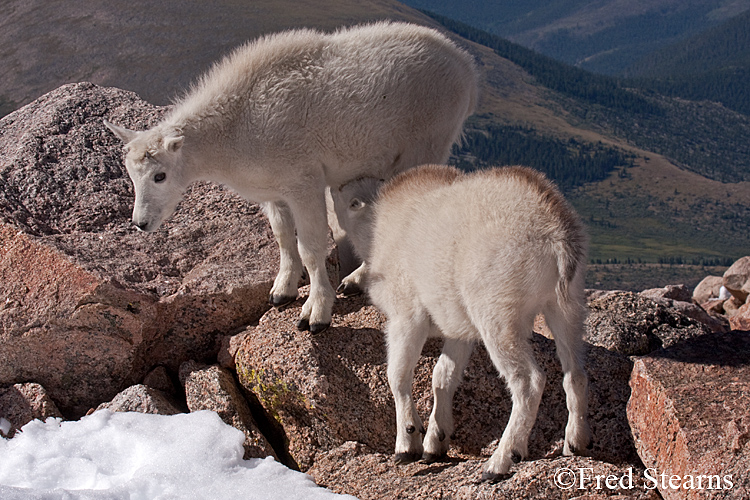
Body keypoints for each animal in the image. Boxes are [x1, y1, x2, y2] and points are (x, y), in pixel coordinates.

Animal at [104, 22, 482, 332]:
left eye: (160, 176)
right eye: (131, 176)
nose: (141, 223)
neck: (231, 128)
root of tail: (466, 68)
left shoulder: (304, 183)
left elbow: (311, 247)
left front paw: (315, 313)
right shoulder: (274, 190)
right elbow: (283, 236)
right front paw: (282, 290)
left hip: (428, 143)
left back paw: (358, 280)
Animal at [334, 166, 592, 482]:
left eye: (347, 202)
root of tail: (557, 235)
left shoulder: (406, 316)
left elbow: (397, 375)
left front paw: (407, 444)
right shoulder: (459, 330)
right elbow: (442, 377)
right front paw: (435, 442)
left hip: (498, 316)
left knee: (528, 381)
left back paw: (499, 461)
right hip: (566, 305)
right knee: (575, 372)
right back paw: (575, 443)